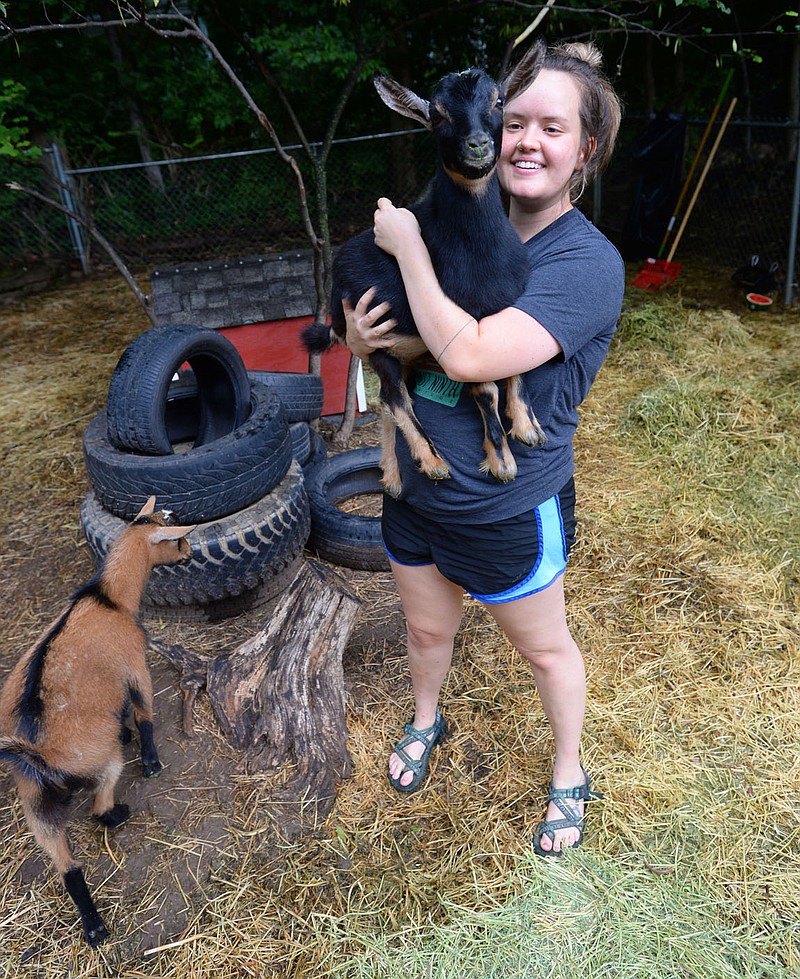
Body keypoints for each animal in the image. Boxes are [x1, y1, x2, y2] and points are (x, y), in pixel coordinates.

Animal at [0, 498, 195, 948]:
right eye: (175, 537)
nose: (191, 554)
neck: (110, 599)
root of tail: (38, 752)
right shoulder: (135, 662)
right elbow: (143, 713)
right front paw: (152, 762)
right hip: (101, 761)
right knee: (98, 809)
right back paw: (119, 813)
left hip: (35, 804)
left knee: (68, 868)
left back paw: (94, 927)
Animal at [304, 41, 548, 494]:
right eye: (437, 115)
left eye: (499, 101)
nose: (477, 146)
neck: (481, 254)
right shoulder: (468, 321)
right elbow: (485, 389)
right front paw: (502, 460)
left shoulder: (507, 305)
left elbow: (518, 367)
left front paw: (527, 427)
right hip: (375, 340)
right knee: (394, 397)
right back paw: (431, 463)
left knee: (390, 402)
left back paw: (392, 473)